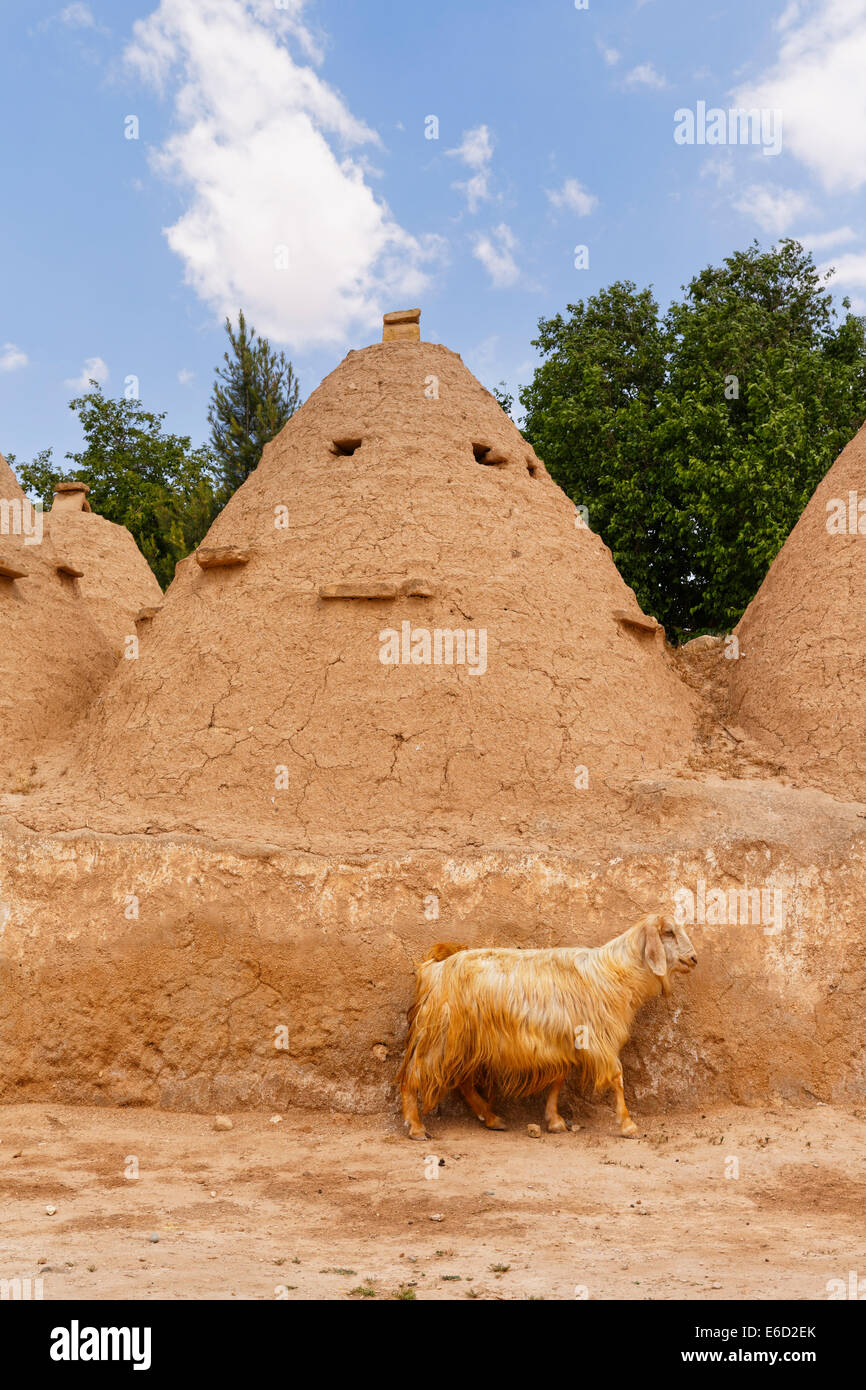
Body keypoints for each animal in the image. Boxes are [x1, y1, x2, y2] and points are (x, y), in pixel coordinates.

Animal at [400, 911, 697, 1139]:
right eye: (669, 932)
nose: (694, 958)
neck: (615, 972)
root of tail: (433, 968)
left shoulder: (562, 1038)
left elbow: (558, 1079)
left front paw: (554, 1120)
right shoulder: (596, 1036)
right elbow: (616, 1077)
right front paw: (628, 1125)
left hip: (465, 1040)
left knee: (462, 1080)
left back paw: (492, 1118)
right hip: (439, 1036)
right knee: (413, 1075)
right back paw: (416, 1127)